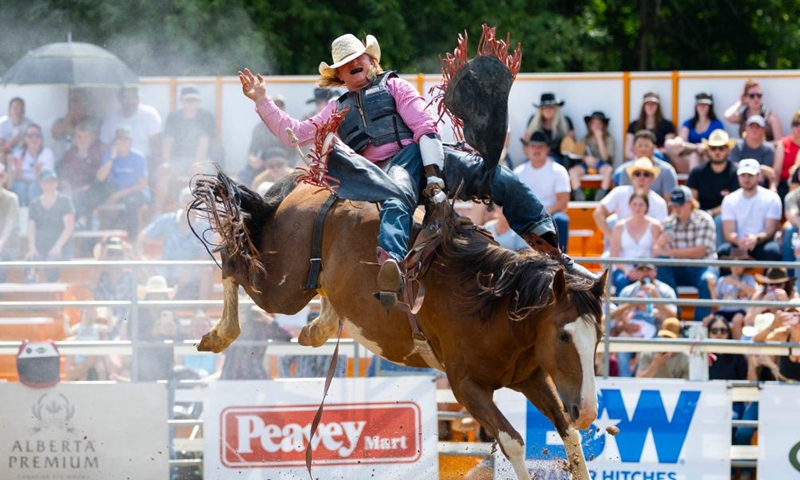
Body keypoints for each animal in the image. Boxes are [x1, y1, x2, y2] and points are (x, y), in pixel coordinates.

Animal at [192, 171, 608, 478]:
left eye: (598, 337)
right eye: (564, 335)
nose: (589, 409)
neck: (492, 303)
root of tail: (308, 187)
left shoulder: (531, 377)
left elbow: (568, 433)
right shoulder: (465, 386)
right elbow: (513, 442)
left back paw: (318, 328)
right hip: (282, 287)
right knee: (234, 260)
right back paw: (218, 334)